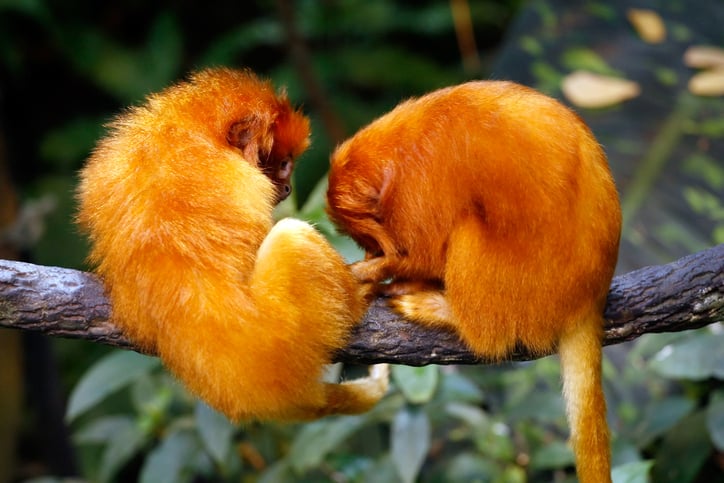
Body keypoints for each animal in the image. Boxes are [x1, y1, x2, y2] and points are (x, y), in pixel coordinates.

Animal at [76, 67, 388, 422]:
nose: (287, 187)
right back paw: (357, 296)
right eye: (284, 164)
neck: (196, 130)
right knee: (291, 237)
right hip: (286, 331)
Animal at [326, 81, 621, 482]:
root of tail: (587, 298)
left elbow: (426, 252)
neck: (403, 148)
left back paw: (446, 313)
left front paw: (374, 273)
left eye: (370, 239)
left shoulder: (420, 185)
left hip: (523, 287)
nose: (374, 251)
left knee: (467, 234)